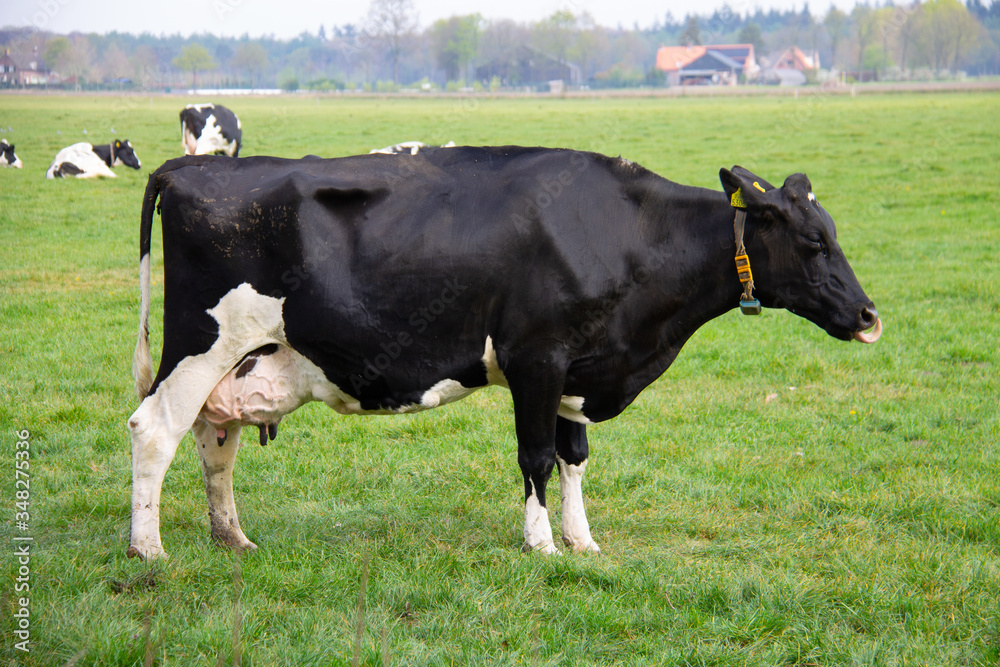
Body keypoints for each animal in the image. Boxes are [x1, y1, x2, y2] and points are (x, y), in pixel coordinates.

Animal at [127, 146, 884, 560]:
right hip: (198, 347)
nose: (870, 317)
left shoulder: (581, 366)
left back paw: (232, 538)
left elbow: (576, 456)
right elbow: (537, 456)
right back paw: (149, 549)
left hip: (241, 357)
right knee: (154, 431)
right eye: (813, 242)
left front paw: (582, 541)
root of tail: (188, 169)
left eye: (833, 234)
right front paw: (541, 543)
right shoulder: (536, 359)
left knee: (214, 440)